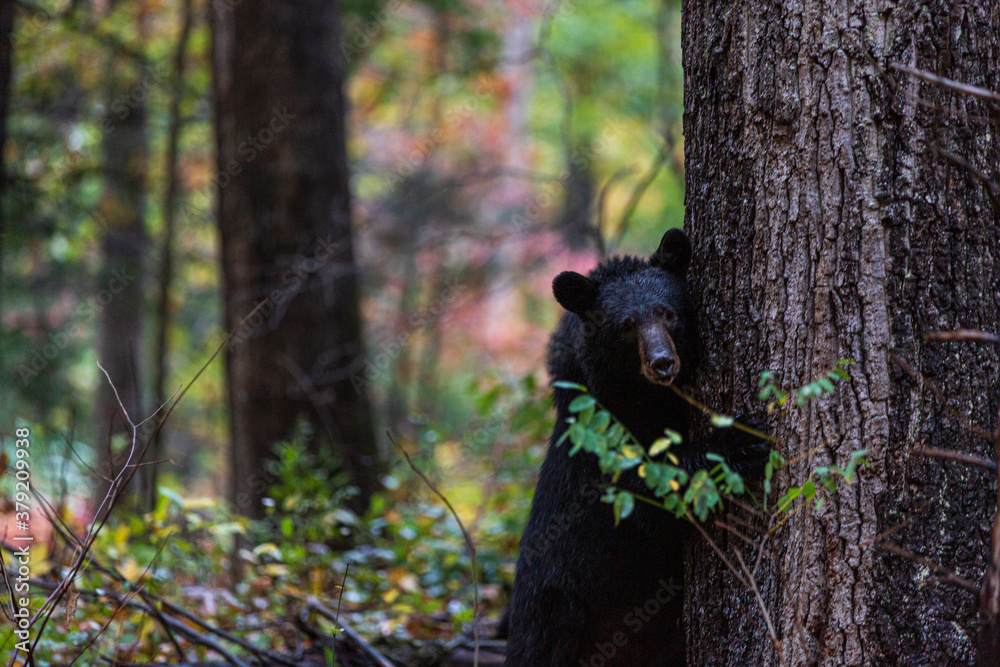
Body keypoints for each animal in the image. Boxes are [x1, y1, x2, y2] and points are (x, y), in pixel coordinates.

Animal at [505, 229, 768, 667]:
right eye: (626, 326)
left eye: (668, 313)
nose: (662, 362)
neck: (647, 398)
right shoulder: (605, 441)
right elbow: (649, 491)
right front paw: (740, 440)